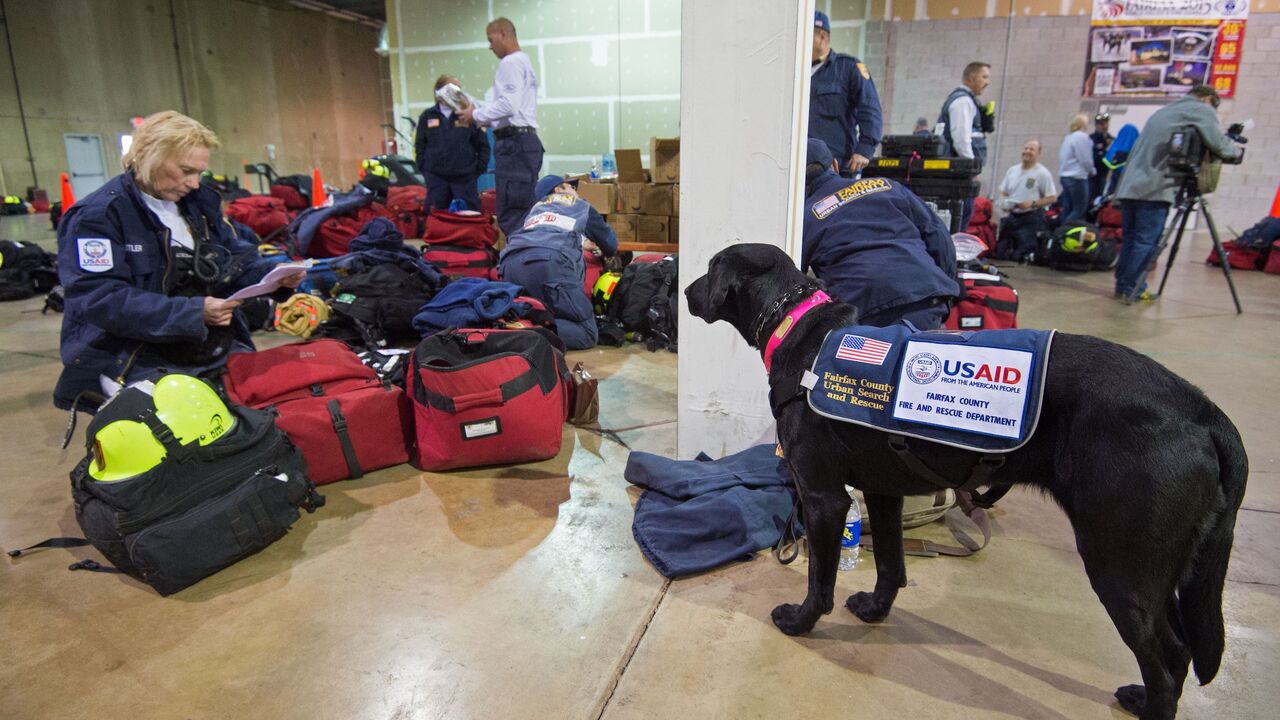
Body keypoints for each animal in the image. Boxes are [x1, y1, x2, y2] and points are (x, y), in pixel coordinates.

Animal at [686, 242, 1244, 717]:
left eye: (710, 268)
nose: (685, 291)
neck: (800, 329)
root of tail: (1203, 411)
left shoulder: (824, 498)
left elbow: (819, 580)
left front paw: (801, 621)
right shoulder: (883, 492)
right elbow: (891, 566)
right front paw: (875, 609)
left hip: (1119, 561)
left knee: (1165, 663)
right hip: (1161, 568)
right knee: (1179, 652)